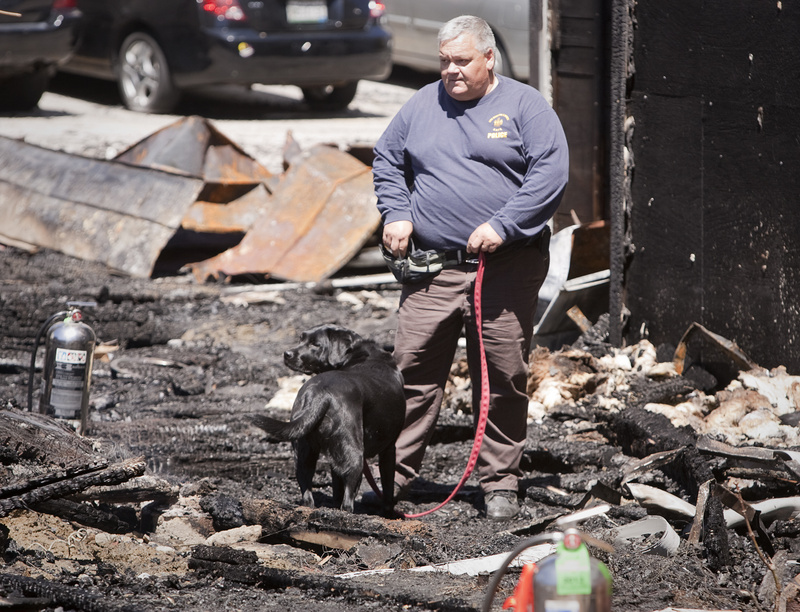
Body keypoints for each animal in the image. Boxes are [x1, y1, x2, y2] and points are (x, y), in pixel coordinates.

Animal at [255, 326, 406, 516]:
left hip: (305, 450)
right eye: (301, 339)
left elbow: (336, 486)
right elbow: (387, 488)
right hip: (354, 452)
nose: (287, 354)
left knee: (306, 488)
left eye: (315, 344)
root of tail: (320, 393)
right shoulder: (389, 448)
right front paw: (389, 514)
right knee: (349, 496)